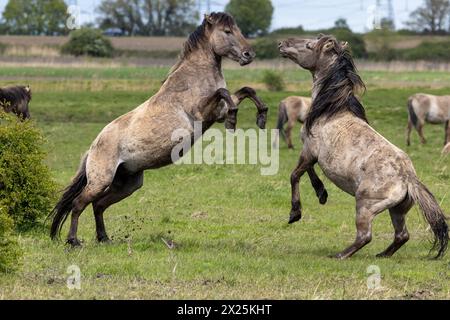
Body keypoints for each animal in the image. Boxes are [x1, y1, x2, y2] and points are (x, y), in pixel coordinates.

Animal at [49, 12, 268, 246]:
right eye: (227, 31)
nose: (249, 54)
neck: (194, 76)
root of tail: (92, 149)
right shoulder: (203, 112)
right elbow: (223, 92)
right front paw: (233, 120)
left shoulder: (217, 112)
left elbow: (246, 90)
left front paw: (262, 116)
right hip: (101, 181)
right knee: (79, 203)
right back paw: (73, 241)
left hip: (127, 185)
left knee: (98, 205)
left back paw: (104, 238)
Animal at [280, 35, 448, 260]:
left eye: (309, 45)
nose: (282, 44)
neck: (331, 111)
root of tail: (408, 180)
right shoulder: (311, 154)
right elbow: (309, 172)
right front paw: (321, 193)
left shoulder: (309, 151)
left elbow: (295, 175)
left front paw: (295, 213)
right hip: (397, 211)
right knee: (402, 235)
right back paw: (382, 255)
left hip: (365, 206)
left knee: (365, 236)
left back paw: (340, 255)